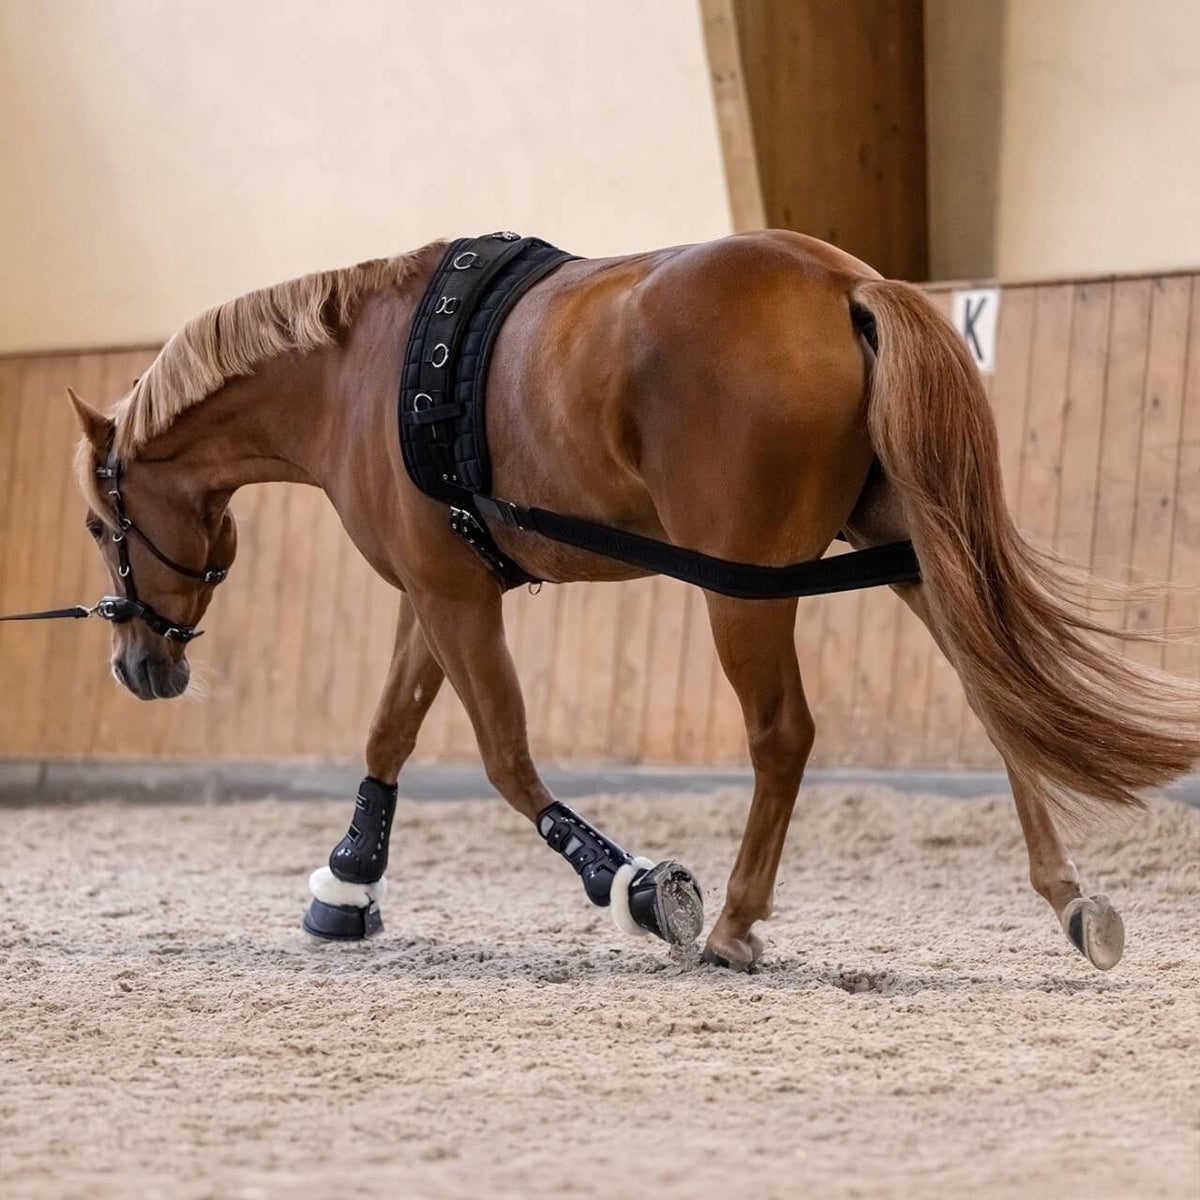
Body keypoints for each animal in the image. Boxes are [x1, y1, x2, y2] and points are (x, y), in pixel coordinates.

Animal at [63, 229, 1200, 972]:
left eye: (95, 527)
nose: (137, 666)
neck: (365, 371)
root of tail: (846, 282)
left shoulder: (452, 598)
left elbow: (505, 758)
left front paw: (640, 889)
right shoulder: (439, 590)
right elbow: (391, 730)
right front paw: (346, 883)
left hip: (746, 590)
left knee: (784, 733)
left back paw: (735, 922)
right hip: (911, 554)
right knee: (995, 703)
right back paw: (1070, 899)